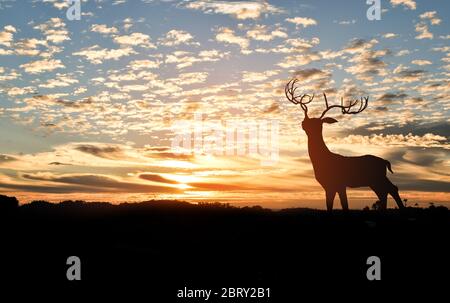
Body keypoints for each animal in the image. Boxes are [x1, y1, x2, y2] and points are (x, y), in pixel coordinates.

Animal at [286, 78, 406, 211]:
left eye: (317, 123)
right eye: (308, 120)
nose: (303, 123)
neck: (323, 161)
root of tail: (385, 162)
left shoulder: (340, 183)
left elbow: (345, 206)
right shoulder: (328, 186)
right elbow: (329, 206)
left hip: (377, 178)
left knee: (389, 190)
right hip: (375, 180)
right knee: (387, 191)